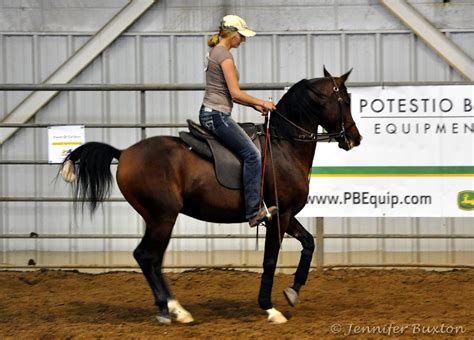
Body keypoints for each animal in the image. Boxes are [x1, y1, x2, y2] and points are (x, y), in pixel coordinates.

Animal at [61, 68, 362, 324]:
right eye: (345, 100)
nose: (355, 138)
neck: (283, 146)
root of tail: (123, 154)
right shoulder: (281, 215)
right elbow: (270, 260)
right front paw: (269, 308)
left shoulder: (284, 214)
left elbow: (309, 243)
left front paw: (293, 291)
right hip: (162, 217)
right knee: (146, 256)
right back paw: (170, 310)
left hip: (158, 219)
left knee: (153, 259)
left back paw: (174, 309)